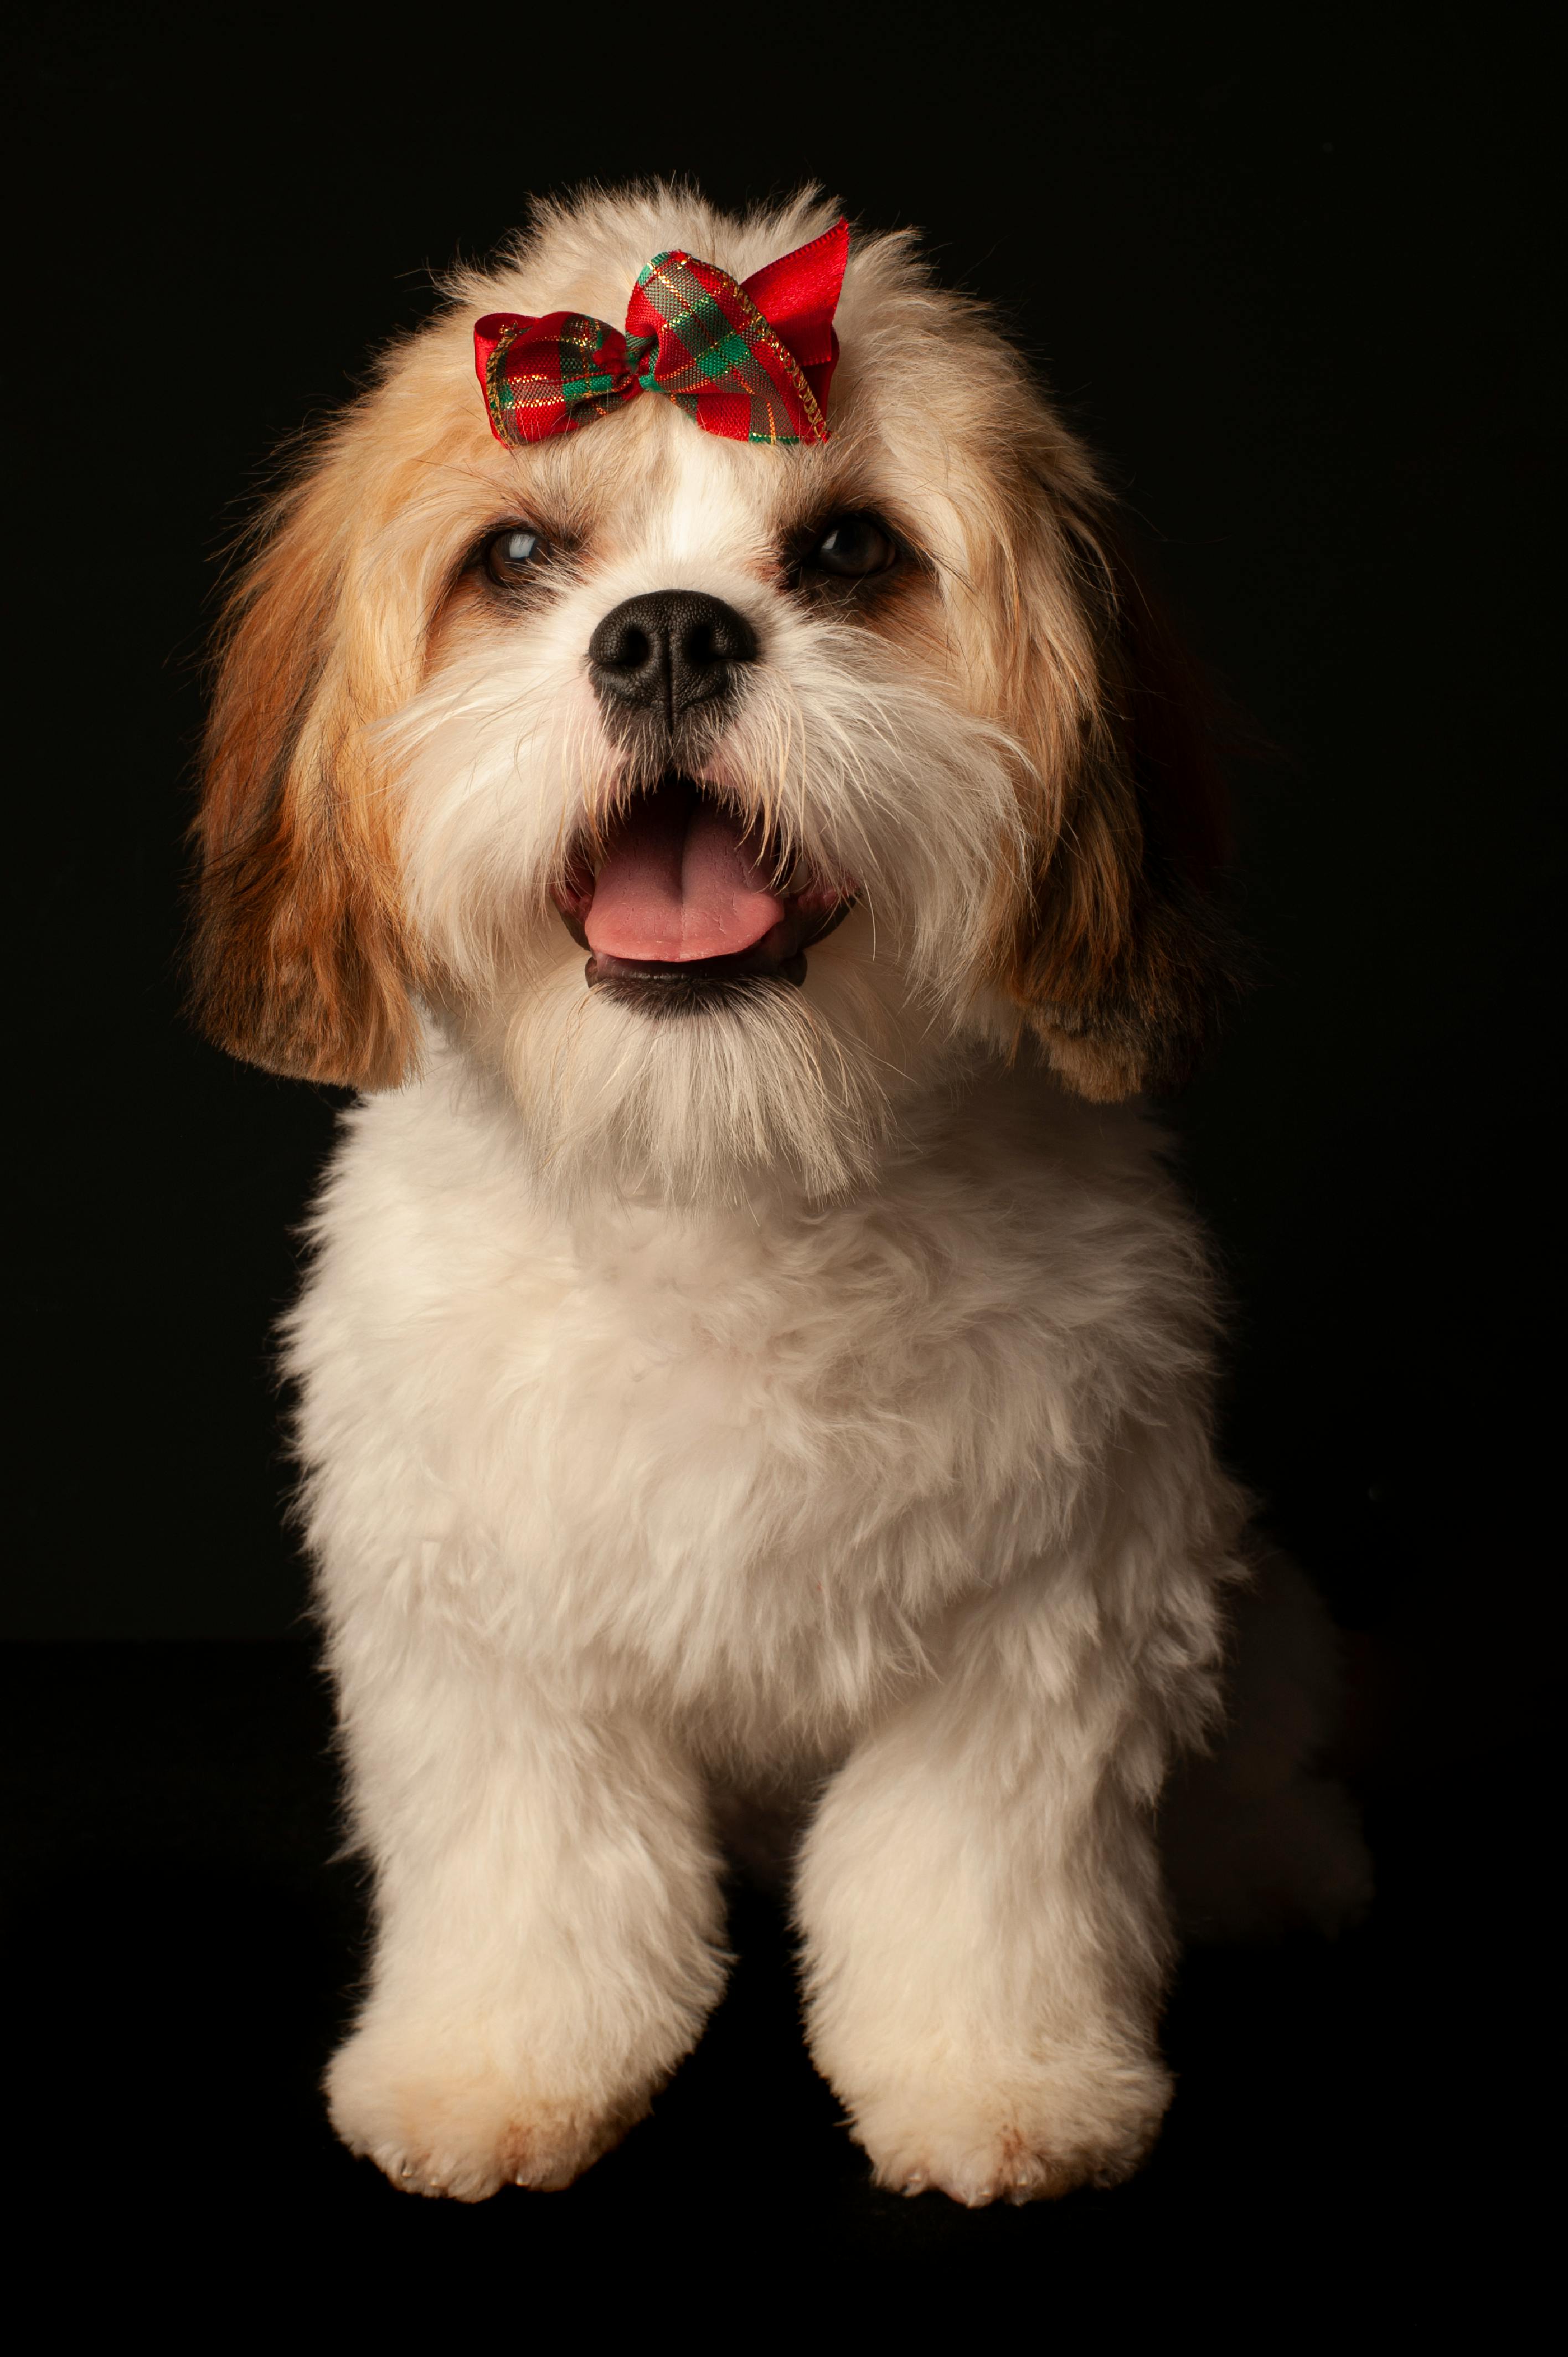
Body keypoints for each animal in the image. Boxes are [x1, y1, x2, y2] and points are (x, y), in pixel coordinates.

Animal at [189, 188, 1368, 2206]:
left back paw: (1266, 1862)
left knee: (1246, 1755)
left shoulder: (1039, 1618)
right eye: (519, 554)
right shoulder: (486, 1631)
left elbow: (973, 1876)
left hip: (1247, 1597)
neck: (722, 1165)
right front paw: (492, 2067)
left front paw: (1001, 2083)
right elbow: (533, 1869)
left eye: (850, 550)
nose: (666, 636)